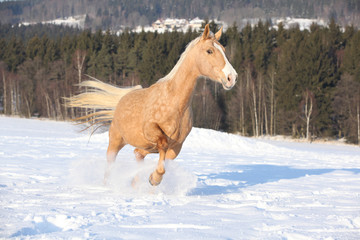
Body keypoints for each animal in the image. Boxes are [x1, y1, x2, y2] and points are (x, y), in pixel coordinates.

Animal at [67, 24, 238, 186]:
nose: (232, 77)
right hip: (115, 141)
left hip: (143, 146)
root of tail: (123, 98)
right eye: (209, 51)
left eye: (223, 50)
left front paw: (153, 180)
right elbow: (162, 145)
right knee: (110, 165)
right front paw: (154, 179)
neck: (175, 104)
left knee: (138, 154)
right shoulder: (151, 130)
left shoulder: (177, 146)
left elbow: (165, 160)